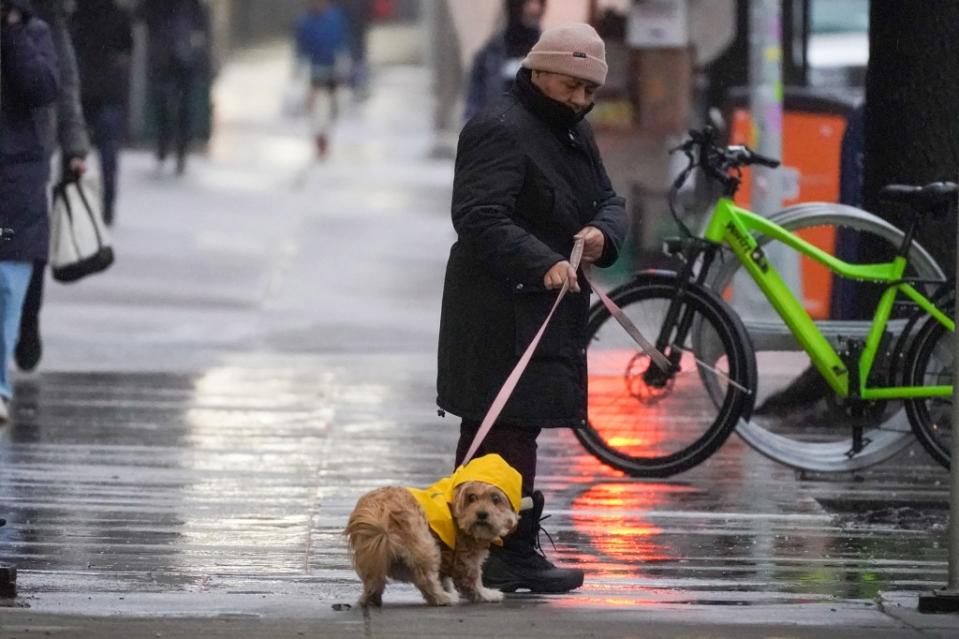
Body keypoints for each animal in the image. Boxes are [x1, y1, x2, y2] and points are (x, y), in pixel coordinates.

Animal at [344, 452, 520, 608]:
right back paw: (442, 598)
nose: (482, 514)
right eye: (471, 498)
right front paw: (486, 595)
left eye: (495, 499)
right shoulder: (466, 557)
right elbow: (471, 580)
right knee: (425, 579)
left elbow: (445, 578)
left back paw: (370, 599)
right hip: (424, 546)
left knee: (373, 580)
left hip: (373, 553)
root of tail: (381, 511)